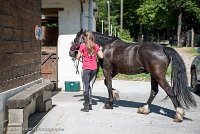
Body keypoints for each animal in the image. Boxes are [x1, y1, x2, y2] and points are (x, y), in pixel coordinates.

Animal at [69, 29, 197, 122]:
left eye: (76, 39)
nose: (71, 52)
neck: (107, 46)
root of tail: (163, 48)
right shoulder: (114, 71)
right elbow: (107, 83)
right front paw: (116, 95)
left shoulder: (107, 70)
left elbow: (109, 86)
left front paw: (109, 103)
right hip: (153, 75)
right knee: (154, 91)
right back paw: (144, 109)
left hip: (158, 76)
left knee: (169, 91)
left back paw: (178, 115)